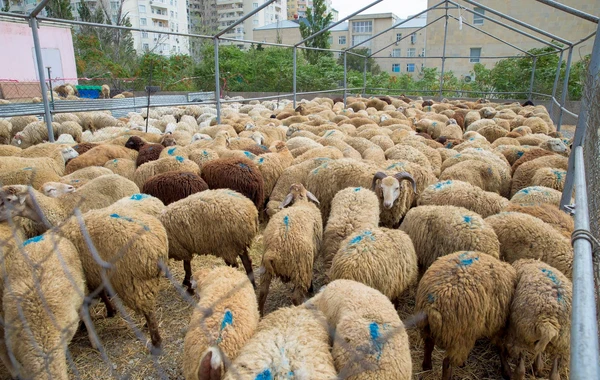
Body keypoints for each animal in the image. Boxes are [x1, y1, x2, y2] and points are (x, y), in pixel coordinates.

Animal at [258, 183, 324, 314]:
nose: (295, 185)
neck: (300, 200)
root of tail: (273, 252)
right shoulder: (310, 260)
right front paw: (311, 288)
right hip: (301, 269)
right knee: (296, 297)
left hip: (265, 269)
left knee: (262, 293)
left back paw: (261, 314)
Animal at [418, 252, 516, 380]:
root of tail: (432, 305)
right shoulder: (499, 325)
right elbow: (501, 347)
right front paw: (507, 371)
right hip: (459, 336)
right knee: (447, 363)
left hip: (428, 328)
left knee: (428, 344)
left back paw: (427, 366)